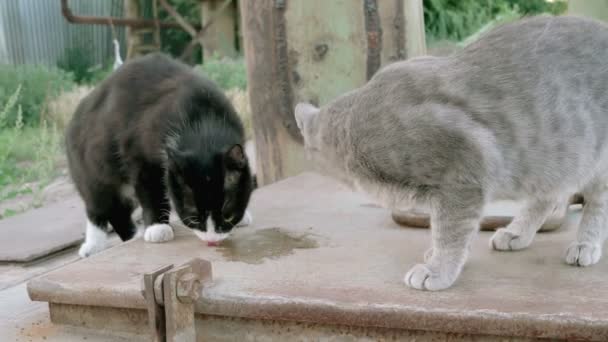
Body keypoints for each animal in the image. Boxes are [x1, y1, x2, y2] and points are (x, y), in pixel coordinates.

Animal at [66, 53, 254, 256]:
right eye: (194, 217)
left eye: (228, 215)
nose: (212, 240)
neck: (203, 126)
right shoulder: (138, 153)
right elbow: (150, 189)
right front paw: (157, 227)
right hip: (91, 171)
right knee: (100, 207)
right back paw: (94, 245)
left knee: (120, 211)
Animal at [294, 14, 608, 290]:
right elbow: (451, 230)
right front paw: (441, 257)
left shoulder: (465, 171)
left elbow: (450, 230)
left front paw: (438, 269)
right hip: (551, 160)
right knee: (548, 195)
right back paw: (517, 232)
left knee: (597, 203)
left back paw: (585, 244)